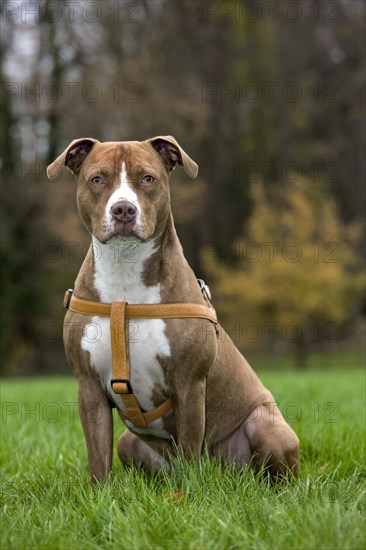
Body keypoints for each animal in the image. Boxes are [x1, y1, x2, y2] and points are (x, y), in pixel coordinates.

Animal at [47, 137, 298, 484]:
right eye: (97, 179)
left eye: (147, 178)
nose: (123, 209)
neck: (125, 274)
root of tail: (230, 471)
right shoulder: (89, 386)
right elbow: (98, 456)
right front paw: (100, 492)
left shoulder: (189, 383)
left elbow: (191, 449)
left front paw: (188, 491)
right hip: (129, 443)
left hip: (266, 425)